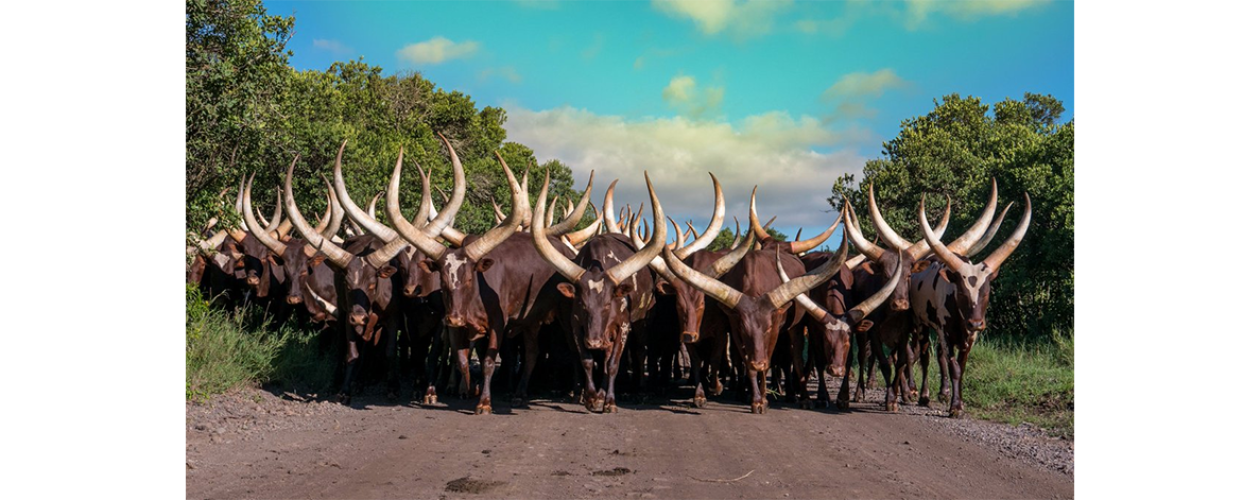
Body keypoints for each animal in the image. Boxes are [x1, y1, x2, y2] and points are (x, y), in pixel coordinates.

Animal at [531, 172, 668, 413]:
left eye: (606, 306)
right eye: (583, 305)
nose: (594, 342)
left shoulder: (623, 327)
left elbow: (612, 364)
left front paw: (609, 402)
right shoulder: (576, 325)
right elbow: (586, 360)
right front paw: (591, 398)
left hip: (641, 322)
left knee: (638, 351)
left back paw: (639, 391)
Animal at [913, 192, 1031, 417]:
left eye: (987, 292)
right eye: (961, 291)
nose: (976, 323)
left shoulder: (971, 337)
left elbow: (962, 366)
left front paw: (958, 403)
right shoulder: (944, 333)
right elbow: (954, 367)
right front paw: (955, 407)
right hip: (921, 324)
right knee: (923, 355)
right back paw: (922, 395)